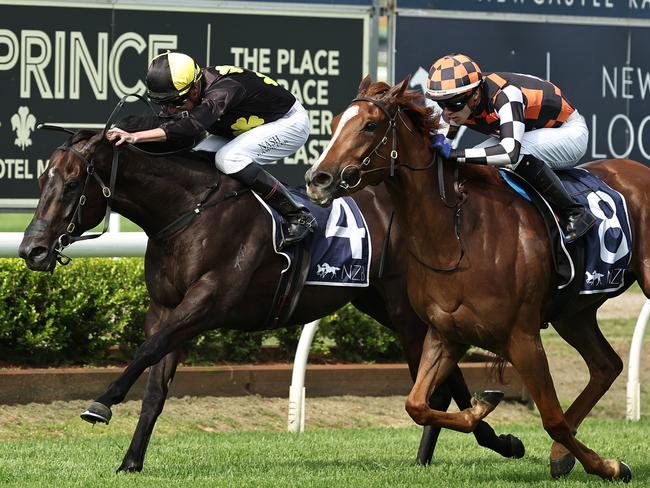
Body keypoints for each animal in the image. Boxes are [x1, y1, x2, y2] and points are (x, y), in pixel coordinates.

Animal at [17, 130, 520, 472]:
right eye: (41, 179)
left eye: (73, 182)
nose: (32, 250)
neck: (189, 211)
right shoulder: (166, 308)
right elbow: (156, 387)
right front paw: (131, 461)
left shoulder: (209, 301)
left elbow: (145, 352)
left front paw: (101, 402)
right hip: (379, 304)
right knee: (445, 376)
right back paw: (480, 441)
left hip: (404, 310)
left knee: (436, 378)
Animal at [304, 77, 648, 484]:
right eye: (334, 122)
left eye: (370, 125)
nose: (317, 179)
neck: (458, 238)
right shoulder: (444, 334)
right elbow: (415, 404)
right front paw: (485, 408)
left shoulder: (522, 338)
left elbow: (553, 419)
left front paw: (608, 466)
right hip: (573, 312)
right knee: (606, 365)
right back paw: (561, 454)